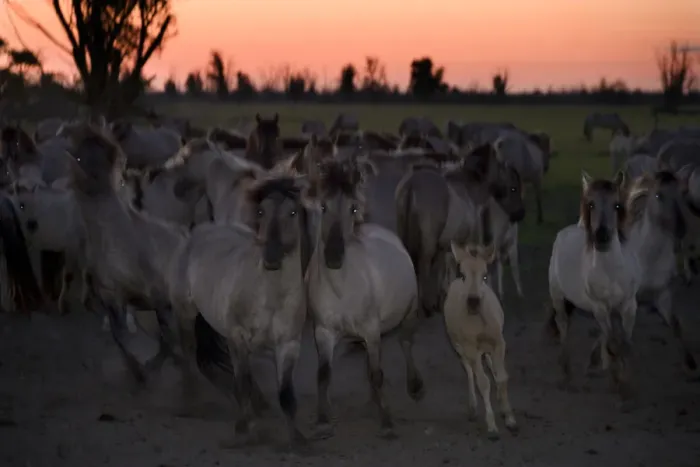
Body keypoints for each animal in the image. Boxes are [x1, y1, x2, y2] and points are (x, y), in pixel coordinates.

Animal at [305, 157, 423, 439]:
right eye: (323, 206)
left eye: (353, 208)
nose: (334, 256)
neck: (342, 288)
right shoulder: (323, 332)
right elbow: (323, 375)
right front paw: (323, 421)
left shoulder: (371, 329)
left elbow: (377, 374)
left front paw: (387, 423)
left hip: (409, 313)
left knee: (405, 343)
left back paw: (414, 386)